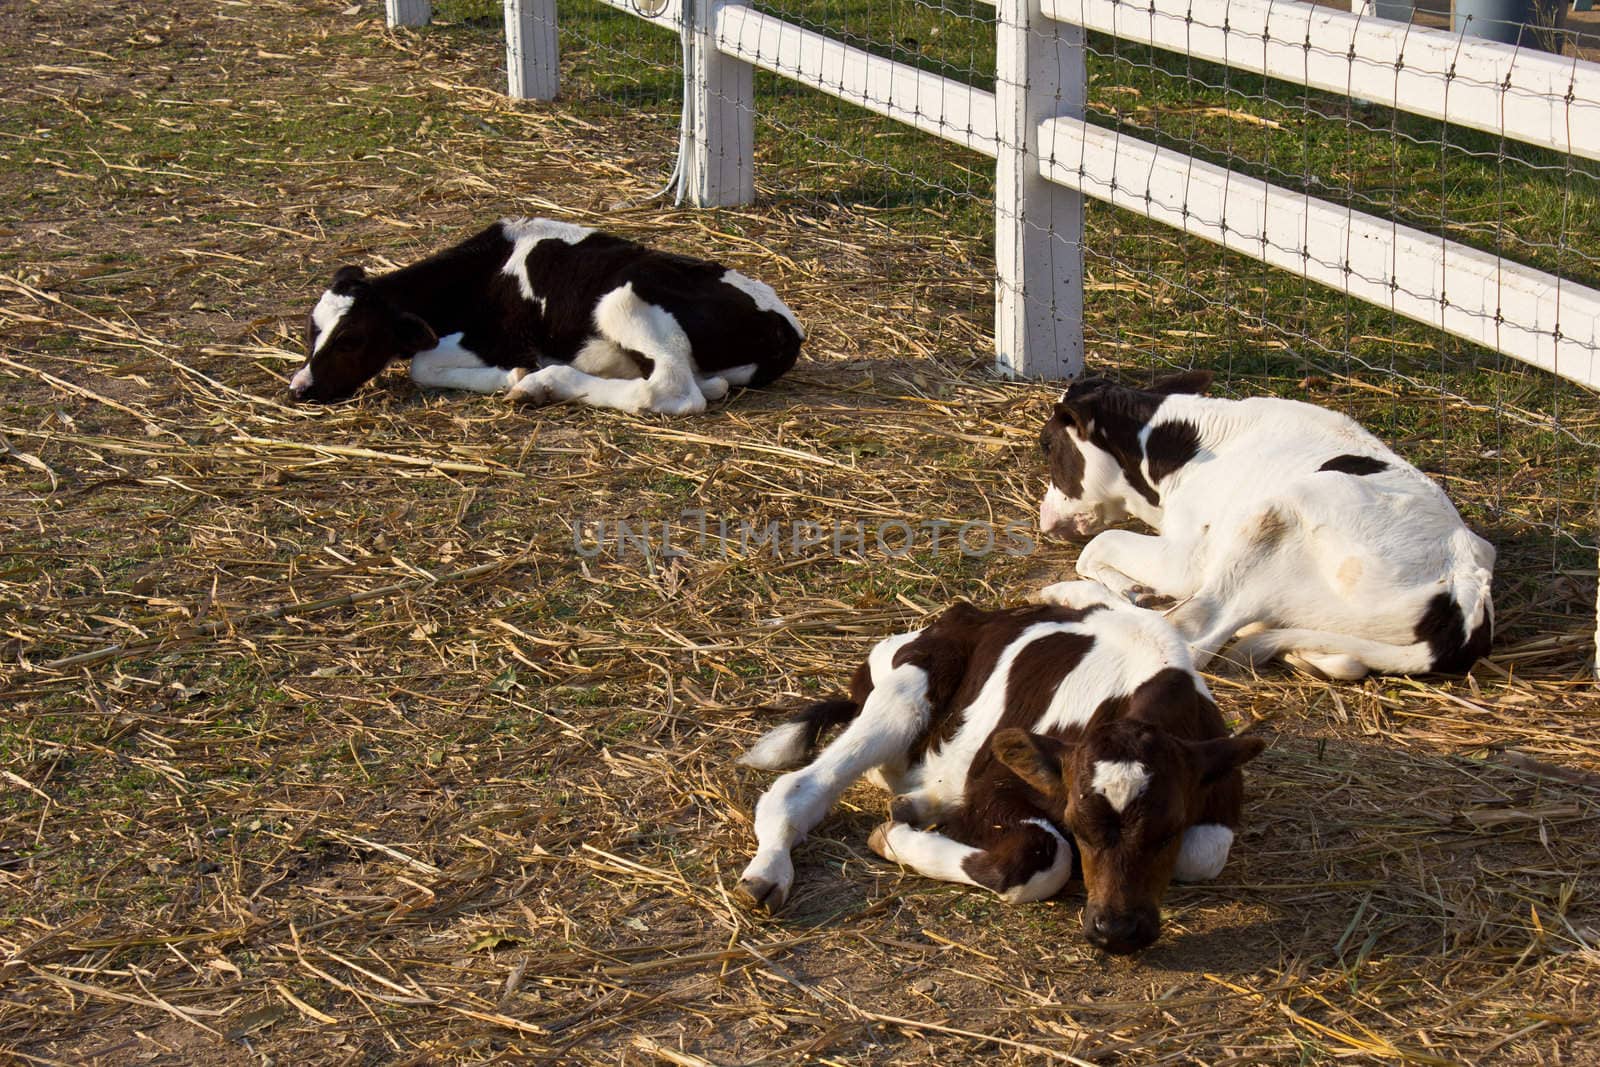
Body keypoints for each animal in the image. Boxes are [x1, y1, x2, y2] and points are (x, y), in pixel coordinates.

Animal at [288, 217, 800, 412]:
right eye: (311, 330)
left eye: (352, 339)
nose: (300, 390)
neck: (483, 270)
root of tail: (787, 327)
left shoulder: (499, 337)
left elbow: (421, 365)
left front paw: (513, 376)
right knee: (702, 386)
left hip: (623, 297)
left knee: (670, 390)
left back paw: (543, 383)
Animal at [736, 588, 1260, 953]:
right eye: (1078, 825)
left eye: (1168, 830)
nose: (1117, 930)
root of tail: (970, 613)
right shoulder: (998, 782)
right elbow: (1041, 855)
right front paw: (893, 839)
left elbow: (1202, 852)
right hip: (911, 688)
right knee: (797, 785)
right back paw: (767, 872)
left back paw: (921, 802)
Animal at [1036, 371, 1497, 681]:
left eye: (1048, 445)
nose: (1045, 520)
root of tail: (1465, 590)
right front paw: (1134, 587)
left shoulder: (1189, 558)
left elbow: (1097, 546)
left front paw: (1130, 587)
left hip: (1277, 519)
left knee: (1190, 631)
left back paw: (1073, 597)